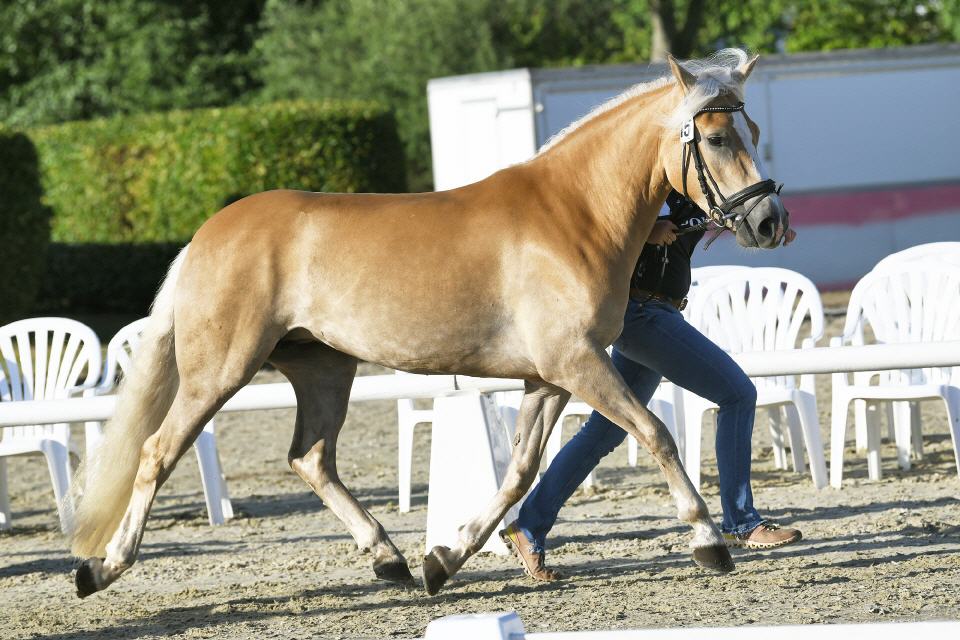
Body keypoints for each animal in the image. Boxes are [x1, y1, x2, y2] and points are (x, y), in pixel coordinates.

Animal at [69, 48, 788, 596]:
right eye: (716, 137)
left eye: (754, 134)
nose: (768, 222)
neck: (574, 216)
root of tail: (206, 234)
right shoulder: (576, 364)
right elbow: (655, 434)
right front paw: (708, 542)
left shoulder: (549, 378)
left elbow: (520, 471)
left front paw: (445, 559)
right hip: (219, 371)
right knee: (157, 452)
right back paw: (101, 568)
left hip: (323, 368)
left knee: (311, 459)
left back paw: (389, 557)